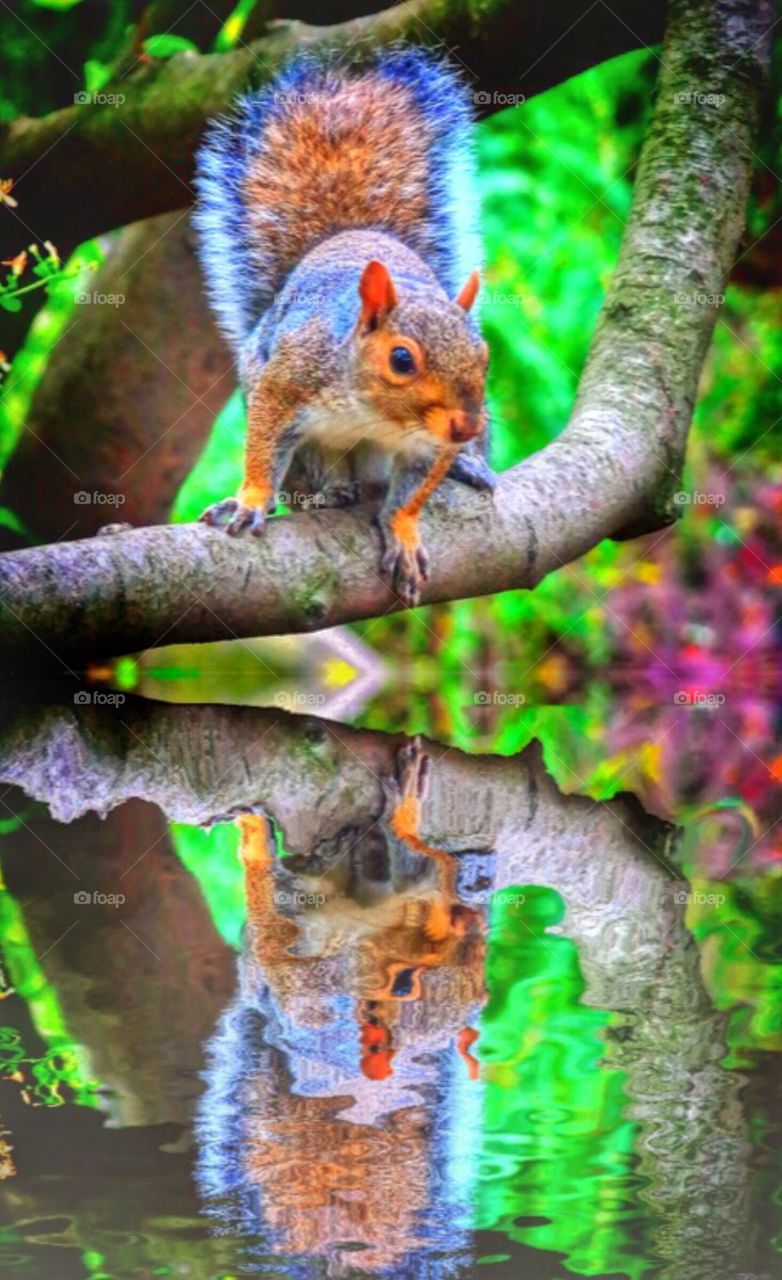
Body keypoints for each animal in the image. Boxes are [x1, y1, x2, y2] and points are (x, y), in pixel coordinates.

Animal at [194, 47, 495, 605]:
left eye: (484, 357)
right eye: (401, 359)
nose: (465, 427)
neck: (380, 414)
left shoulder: (431, 443)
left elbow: (410, 497)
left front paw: (403, 531)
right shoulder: (288, 378)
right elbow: (264, 448)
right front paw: (250, 500)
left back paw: (468, 466)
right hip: (309, 448)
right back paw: (334, 492)